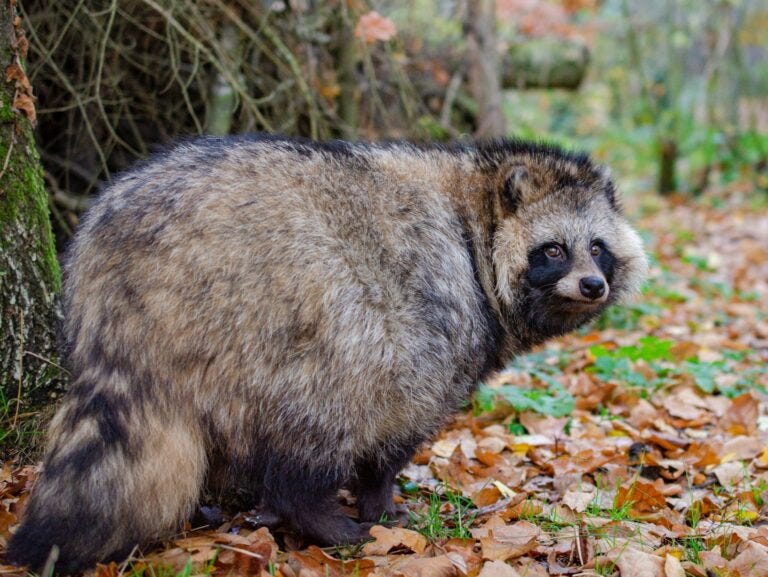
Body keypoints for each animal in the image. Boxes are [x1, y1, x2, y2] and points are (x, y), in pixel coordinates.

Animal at [8, 135, 647, 573]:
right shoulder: (438, 316)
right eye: (554, 250)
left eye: (598, 248)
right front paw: (377, 497)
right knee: (322, 411)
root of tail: (120, 265)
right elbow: (401, 416)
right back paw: (311, 510)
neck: (475, 217)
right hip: (281, 310)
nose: (593, 285)